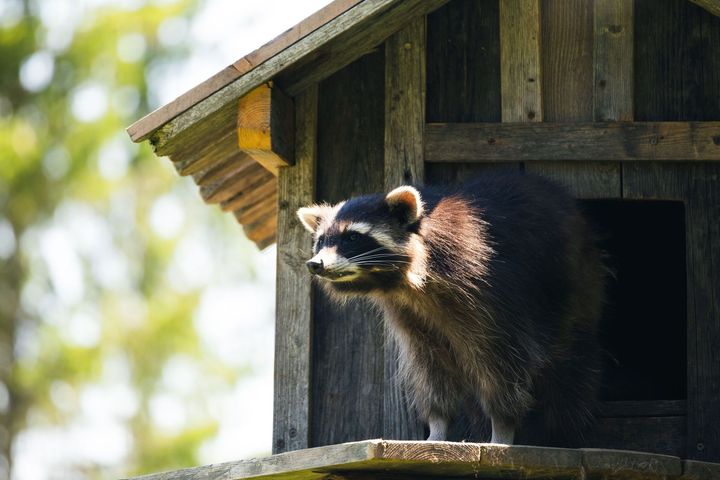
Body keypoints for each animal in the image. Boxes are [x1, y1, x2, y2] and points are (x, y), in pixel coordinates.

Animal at [297, 173, 605, 445]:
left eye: (352, 237)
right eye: (321, 240)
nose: (315, 264)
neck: (405, 283)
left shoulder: (489, 290)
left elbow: (502, 363)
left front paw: (502, 426)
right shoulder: (409, 314)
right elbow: (431, 369)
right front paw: (437, 425)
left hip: (576, 284)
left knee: (569, 363)